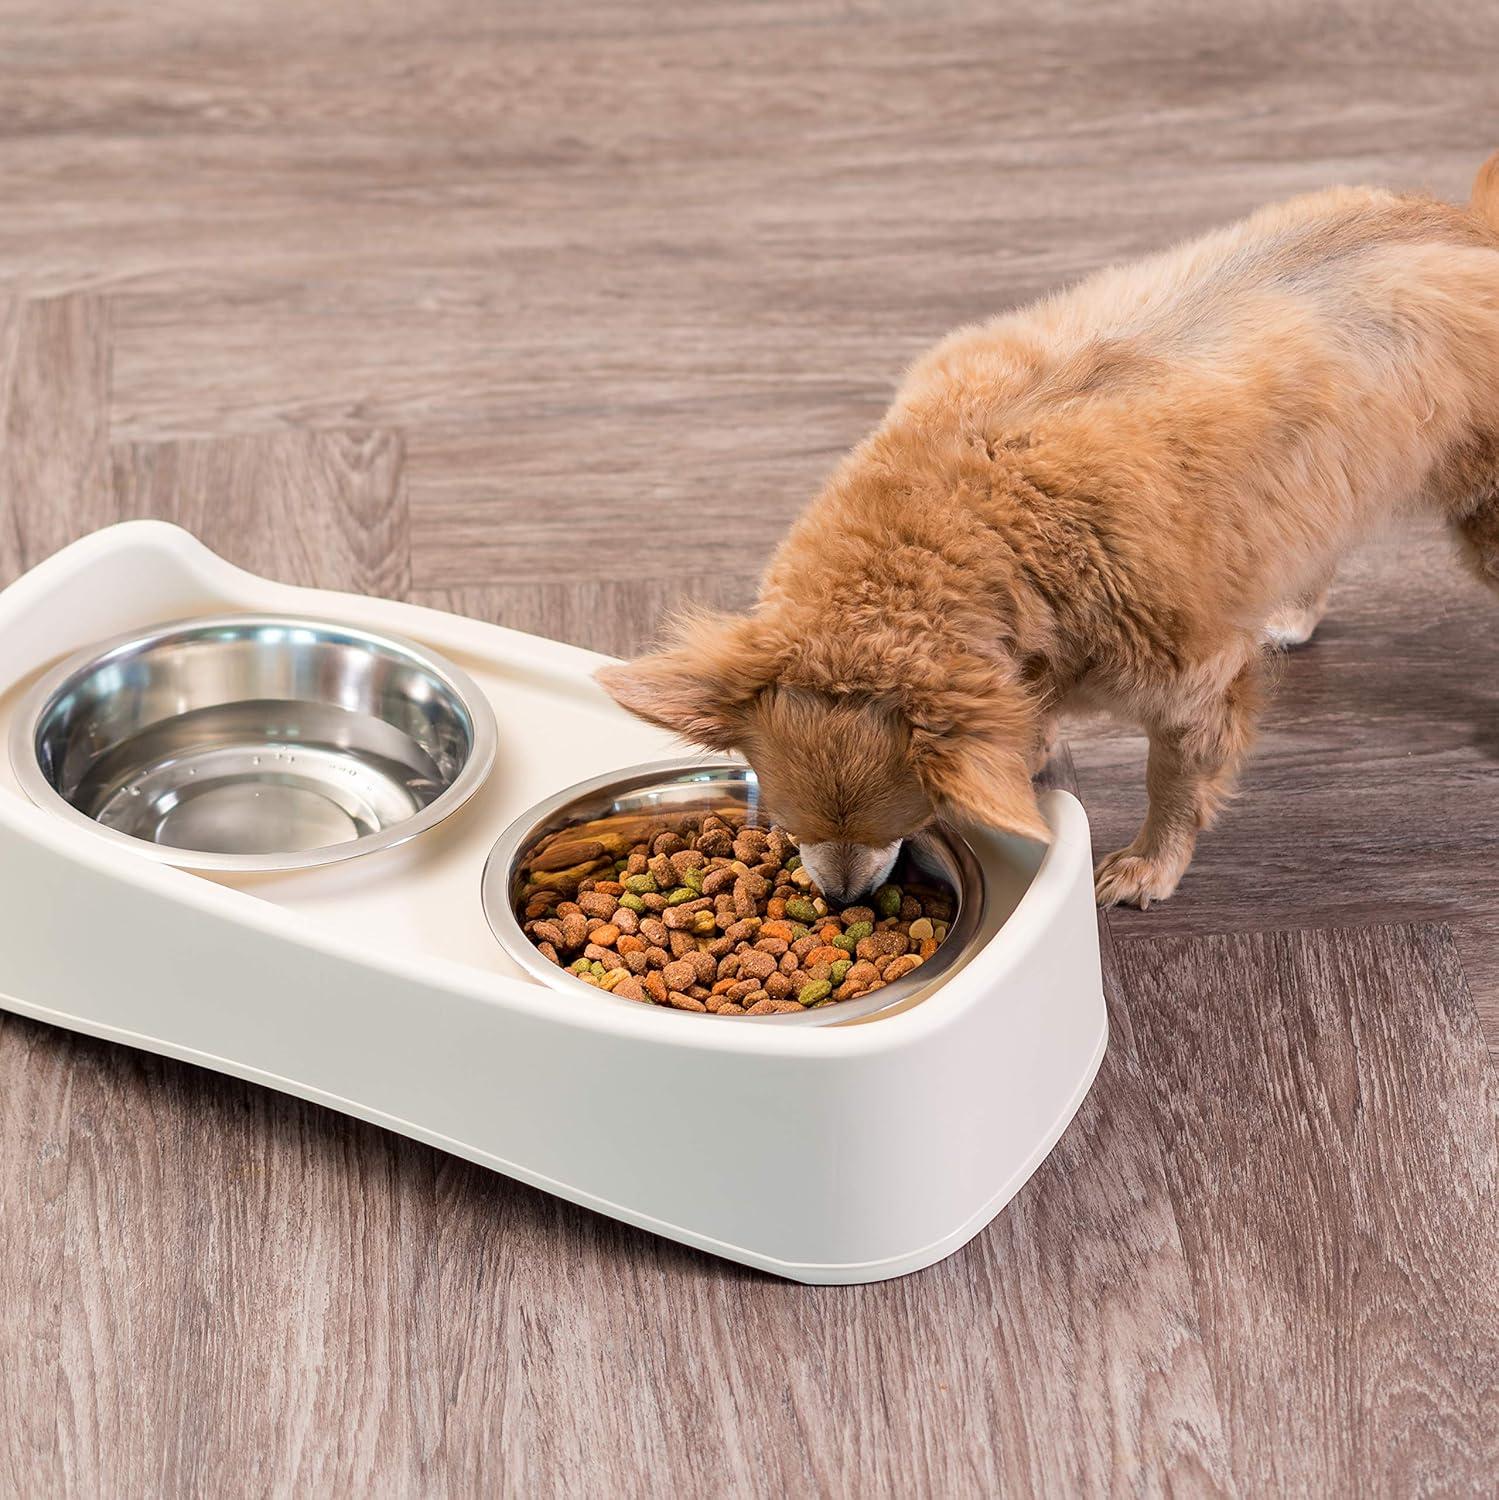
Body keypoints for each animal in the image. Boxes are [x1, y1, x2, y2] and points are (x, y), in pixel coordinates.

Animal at [597, 155, 1499, 900]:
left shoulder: (1194, 687)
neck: (973, 517)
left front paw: (1147, 866)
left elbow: (1175, 786)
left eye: (901, 824)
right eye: (788, 827)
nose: (842, 898)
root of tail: (1472, 230)